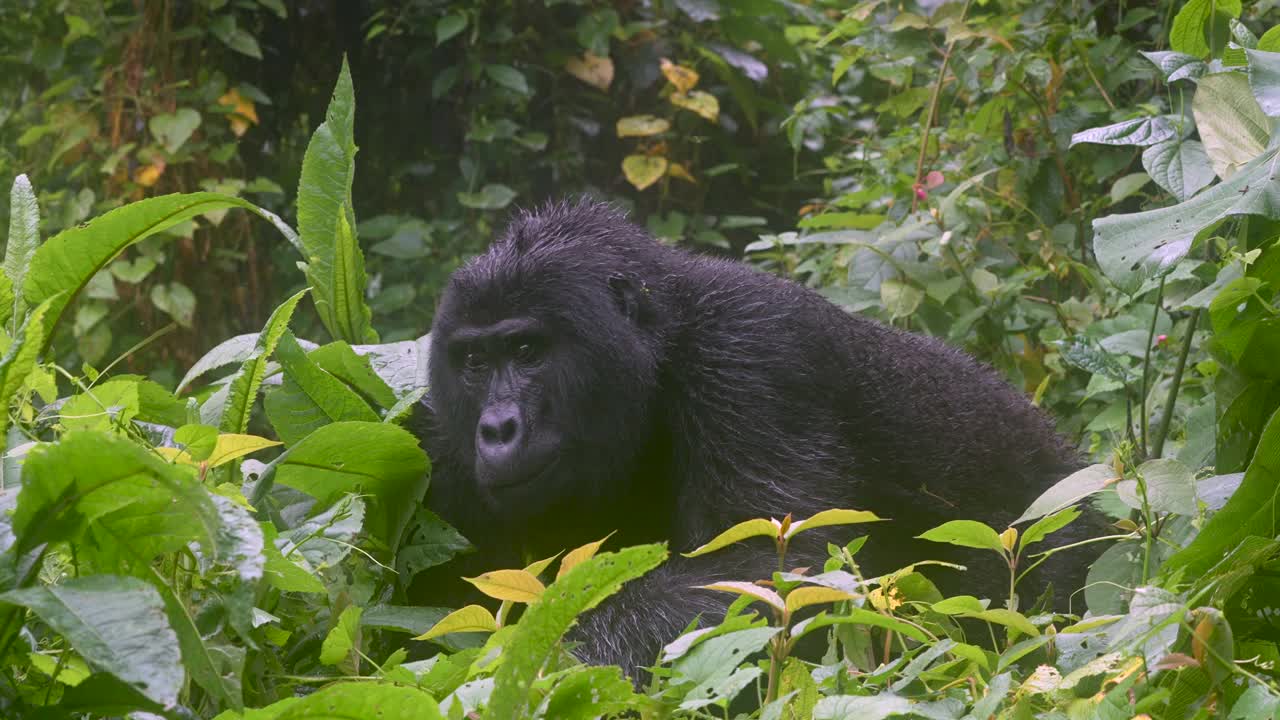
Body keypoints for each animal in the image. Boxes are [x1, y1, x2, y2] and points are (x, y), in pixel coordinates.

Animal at [414, 198, 1095, 676]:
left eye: (528, 351)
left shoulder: (752, 354)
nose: (496, 428)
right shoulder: (436, 438)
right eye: (474, 361)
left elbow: (774, 572)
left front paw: (547, 652)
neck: (664, 333)